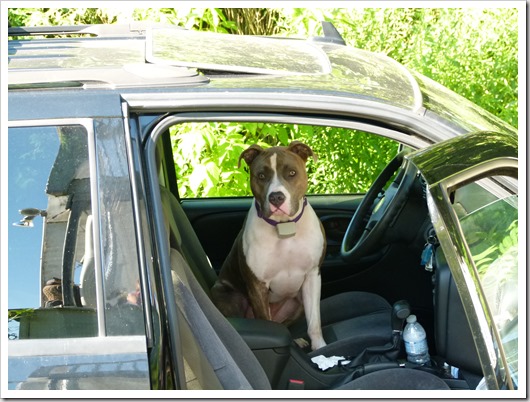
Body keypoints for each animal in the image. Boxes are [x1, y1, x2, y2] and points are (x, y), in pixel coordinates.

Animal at [211, 141, 327, 351]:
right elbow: (266, 321)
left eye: (291, 173)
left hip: (297, 303)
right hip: (227, 295)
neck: (284, 227)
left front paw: (320, 347)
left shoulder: (313, 275)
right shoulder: (258, 285)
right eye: (261, 176)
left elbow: (314, 321)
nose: (276, 197)